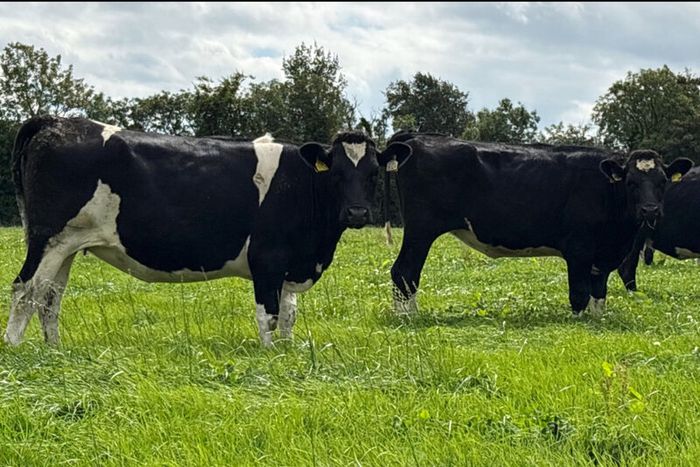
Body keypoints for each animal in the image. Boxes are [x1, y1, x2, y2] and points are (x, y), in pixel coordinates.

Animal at [4, 116, 408, 347]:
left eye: (373, 172)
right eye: (336, 172)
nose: (357, 212)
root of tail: (57, 121)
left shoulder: (289, 264)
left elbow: (289, 315)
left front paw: (289, 351)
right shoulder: (267, 260)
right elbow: (269, 315)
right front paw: (271, 355)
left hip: (67, 245)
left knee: (49, 296)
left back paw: (55, 350)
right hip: (48, 238)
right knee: (26, 289)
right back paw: (15, 349)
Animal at [383, 131, 693, 316]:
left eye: (663, 182)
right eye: (631, 183)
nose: (650, 210)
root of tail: (419, 137)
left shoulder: (603, 256)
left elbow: (598, 293)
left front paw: (597, 319)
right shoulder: (578, 250)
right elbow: (579, 294)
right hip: (420, 230)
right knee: (404, 272)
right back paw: (408, 317)